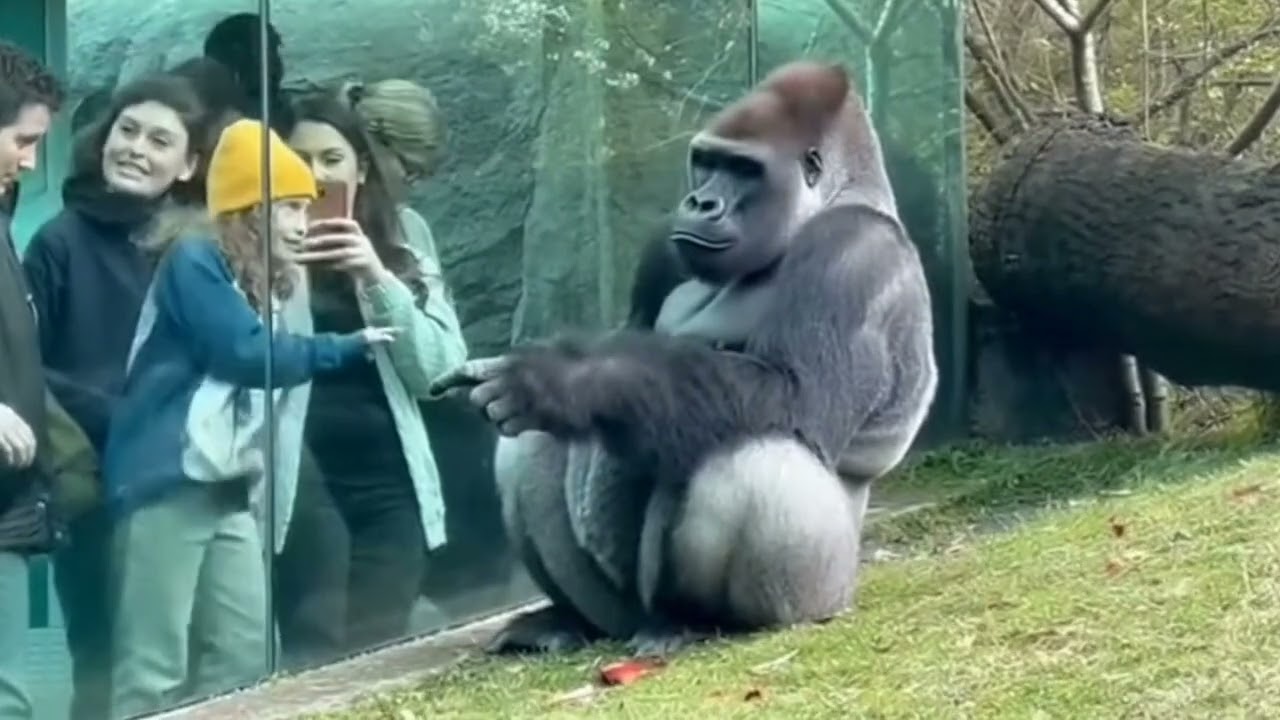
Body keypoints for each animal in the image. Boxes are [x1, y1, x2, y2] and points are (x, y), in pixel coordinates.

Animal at [428, 60, 938, 657]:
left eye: (745, 170)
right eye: (707, 163)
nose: (701, 203)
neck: (838, 196)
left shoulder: (854, 253)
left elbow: (793, 395)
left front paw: (559, 380)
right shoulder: (663, 249)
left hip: (824, 591)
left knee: (754, 456)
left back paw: (694, 620)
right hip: (617, 611)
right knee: (532, 445)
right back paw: (567, 619)